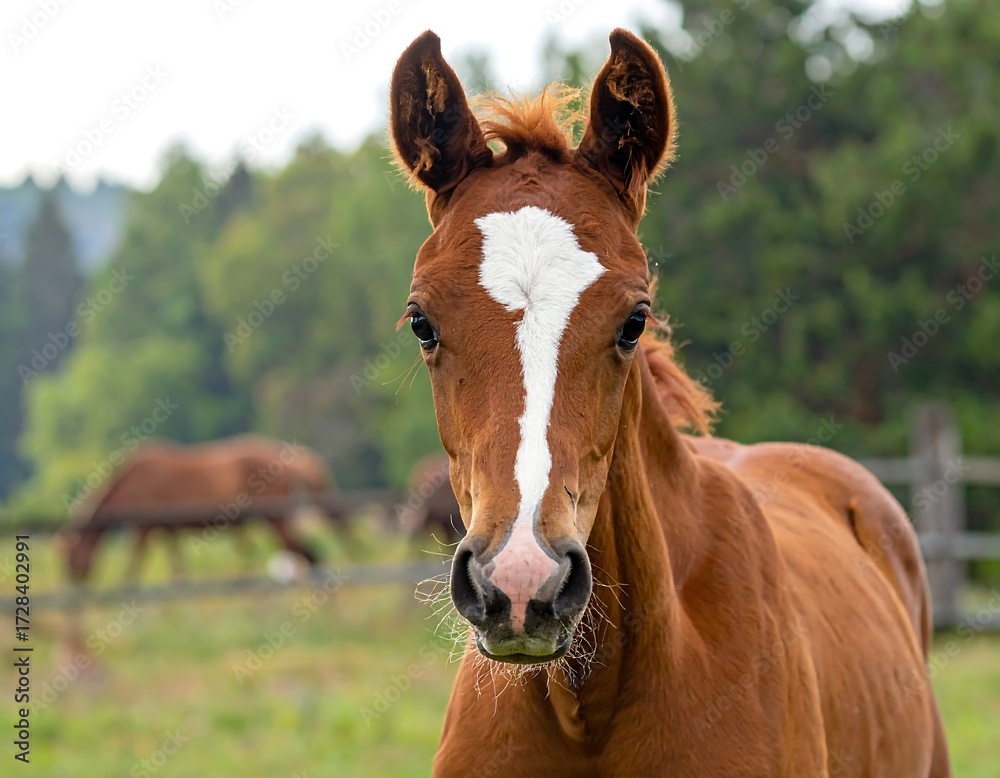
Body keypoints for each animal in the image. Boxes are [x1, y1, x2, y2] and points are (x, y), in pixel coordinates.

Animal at [59, 435, 330, 583]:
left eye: (72, 556)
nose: (75, 584)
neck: (133, 480)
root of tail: (291, 467)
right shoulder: (166, 529)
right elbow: (176, 565)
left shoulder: (143, 528)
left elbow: (134, 563)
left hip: (276, 520)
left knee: (307, 553)